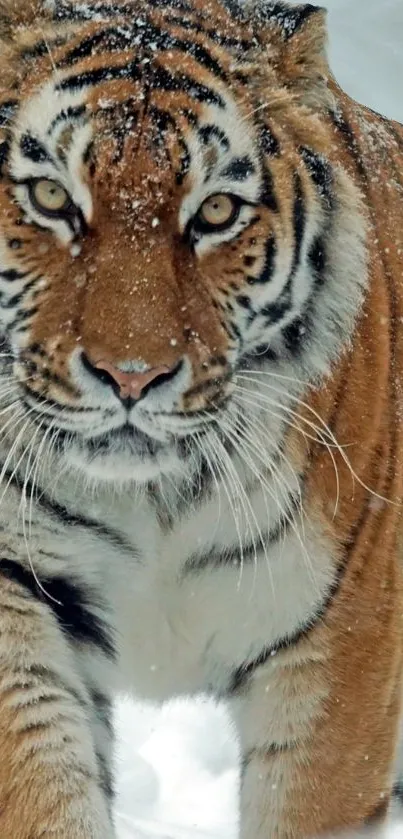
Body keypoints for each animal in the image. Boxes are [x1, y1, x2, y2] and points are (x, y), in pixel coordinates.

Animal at [0, 0, 403, 836]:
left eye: (215, 211)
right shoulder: (17, 590)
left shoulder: (340, 647)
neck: (151, 499)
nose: (130, 376)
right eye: (51, 198)